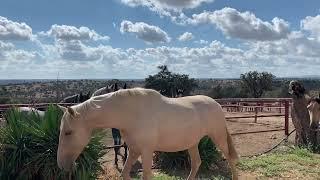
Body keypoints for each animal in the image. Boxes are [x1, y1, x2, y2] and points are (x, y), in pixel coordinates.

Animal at [57, 87, 238, 179]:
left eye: (68, 132)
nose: (62, 165)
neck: (131, 114)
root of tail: (216, 104)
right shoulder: (134, 149)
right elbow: (125, 173)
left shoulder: (145, 151)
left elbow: (146, 175)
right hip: (192, 143)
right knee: (196, 163)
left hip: (218, 137)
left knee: (229, 158)